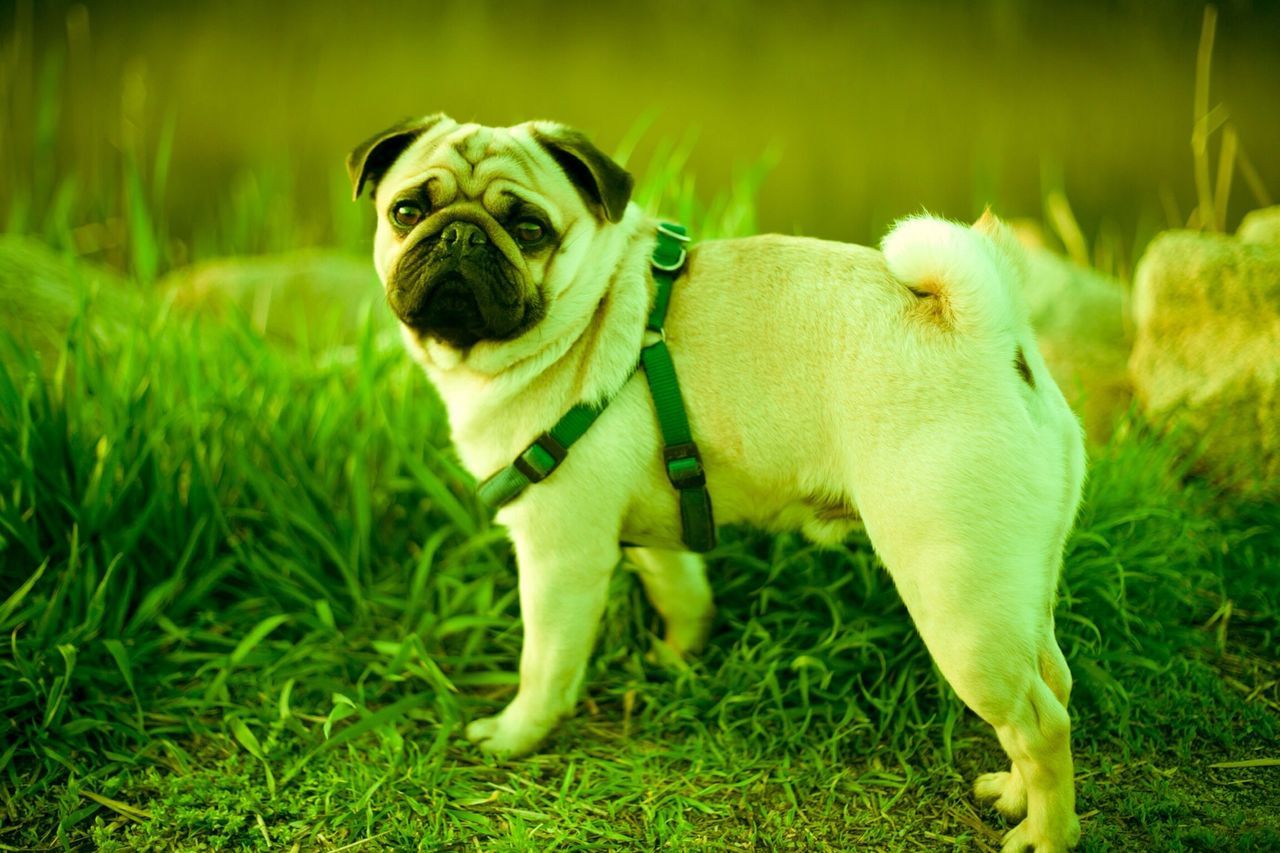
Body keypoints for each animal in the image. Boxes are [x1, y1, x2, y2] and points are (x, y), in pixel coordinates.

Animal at [348, 114, 1080, 850]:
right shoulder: (650, 531)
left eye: (529, 229)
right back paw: (1014, 794)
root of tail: (991, 334)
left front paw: (514, 733)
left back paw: (1046, 833)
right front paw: (680, 658)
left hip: (957, 601)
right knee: (1053, 682)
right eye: (406, 212)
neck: (587, 309)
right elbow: (682, 592)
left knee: (1042, 724)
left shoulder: (560, 557)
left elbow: (546, 665)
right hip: (1016, 585)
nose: (460, 235)